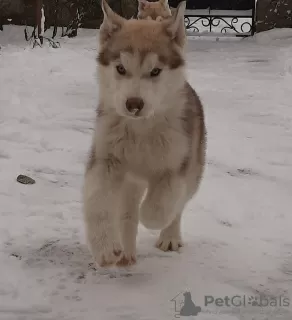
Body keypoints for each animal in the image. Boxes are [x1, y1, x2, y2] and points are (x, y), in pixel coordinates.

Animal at [82, 0, 206, 266]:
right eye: (120, 68)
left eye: (155, 71)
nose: (134, 104)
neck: (140, 130)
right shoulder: (106, 159)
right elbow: (98, 204)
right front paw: (105, 247)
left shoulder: (175, 165)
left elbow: (162, 204)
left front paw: (150, 216)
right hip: (130, 180)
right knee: (127, 211)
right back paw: (126, 252)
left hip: (194, 168)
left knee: (179, 204)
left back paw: (169, 236)